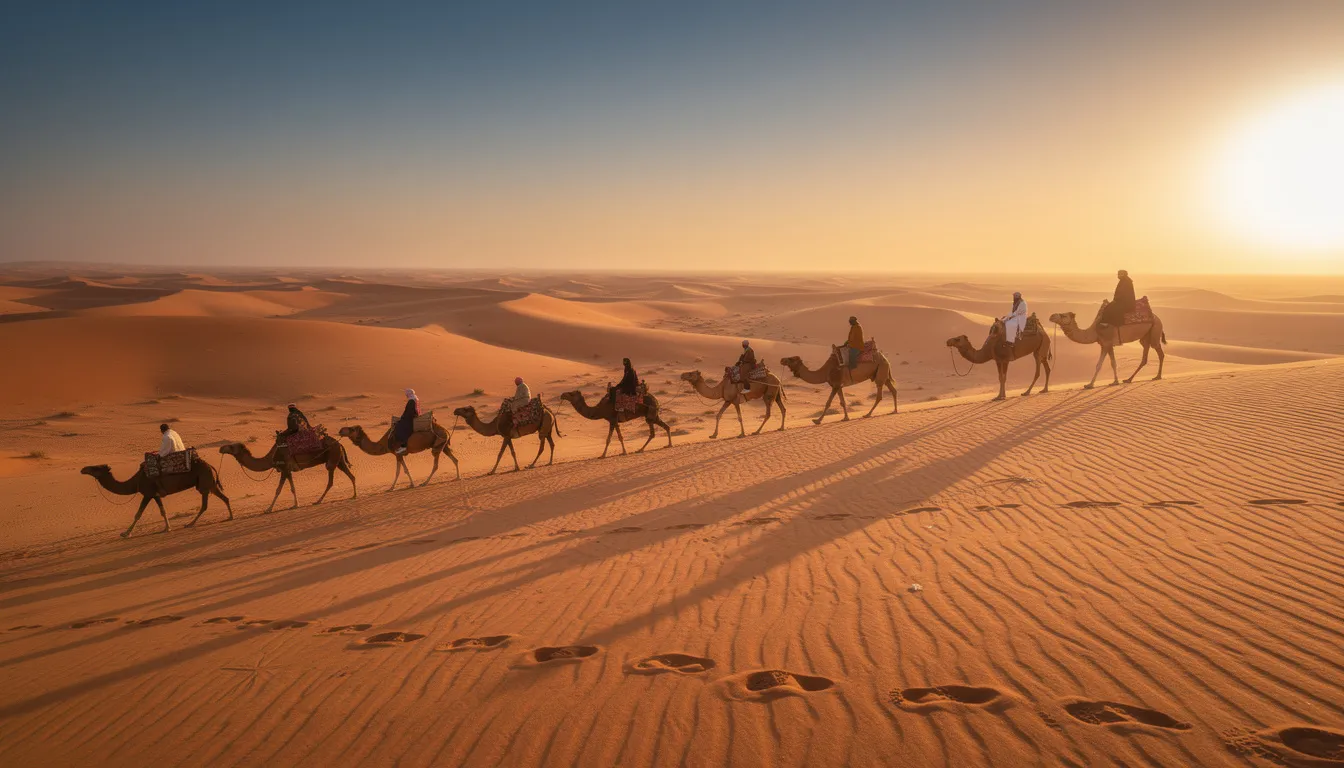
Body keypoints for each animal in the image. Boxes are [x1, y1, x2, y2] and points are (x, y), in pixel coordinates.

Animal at [81, 459, 232, 538]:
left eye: (96, 468)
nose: (83, 469)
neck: (135, 482)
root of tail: (210, 465)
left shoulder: (147, 493)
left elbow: (138, 514)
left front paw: (126, 533)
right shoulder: (155, 495)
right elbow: (163, 511)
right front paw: (167, 528)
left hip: (204, 483)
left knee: (205, 505)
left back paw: (190, 524)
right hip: (210, 484)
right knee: (224, 498)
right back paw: (230, 517)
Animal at [219, 436, 356, 513]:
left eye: (231, 447)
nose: (221, 448)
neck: (271, 458)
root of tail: (339, 443)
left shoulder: (284, 469)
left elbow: (278, 490)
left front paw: (268, 509)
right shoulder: (288, 471)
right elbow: (292, 488)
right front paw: (295, 505)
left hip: (332, 460)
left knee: (330, 481)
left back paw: (318, 501)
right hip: (339, 460)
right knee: (351, 475)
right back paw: (354, 495)